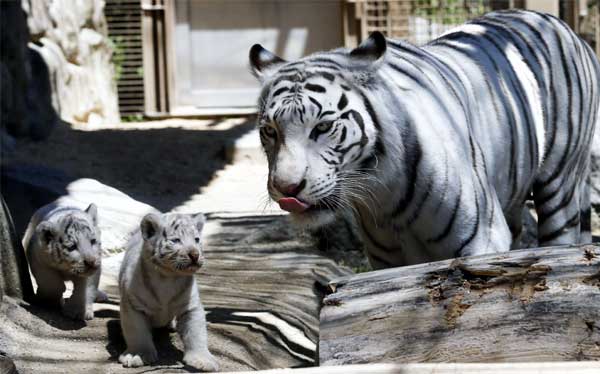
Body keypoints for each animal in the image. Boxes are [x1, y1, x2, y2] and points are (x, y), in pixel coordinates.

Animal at [250, 9, 600, 268]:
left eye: (322, 127)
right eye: (270, 131)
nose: (287, 188)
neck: (384, 200)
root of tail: (564, 26)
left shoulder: (483, 240)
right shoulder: (385, 261)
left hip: (560, 188)